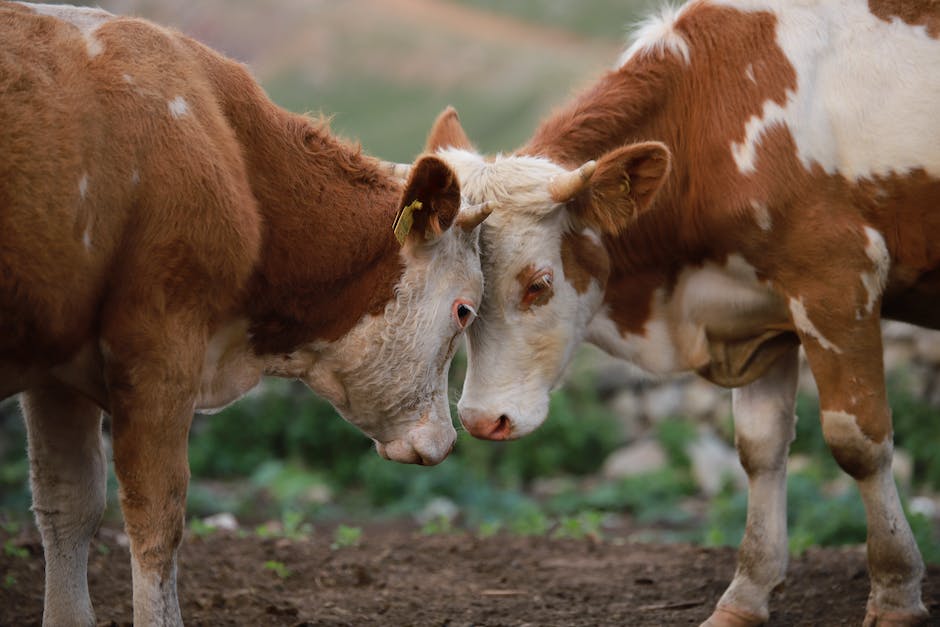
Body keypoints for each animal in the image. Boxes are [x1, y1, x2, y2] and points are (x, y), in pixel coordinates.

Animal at [1, 2, 492, 624]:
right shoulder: (160, 343)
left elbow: (69, 506)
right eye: (464, 310)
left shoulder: (56, 369)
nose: (446, 441)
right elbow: (157, 516)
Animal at [420, 1, 940, 627]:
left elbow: (859, 443)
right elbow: (761, 449)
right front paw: (745, 596)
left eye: (539, 285)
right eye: (464, 303)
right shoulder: (760, 313)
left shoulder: (838, 279)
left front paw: (896, 595)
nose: (481, 420)